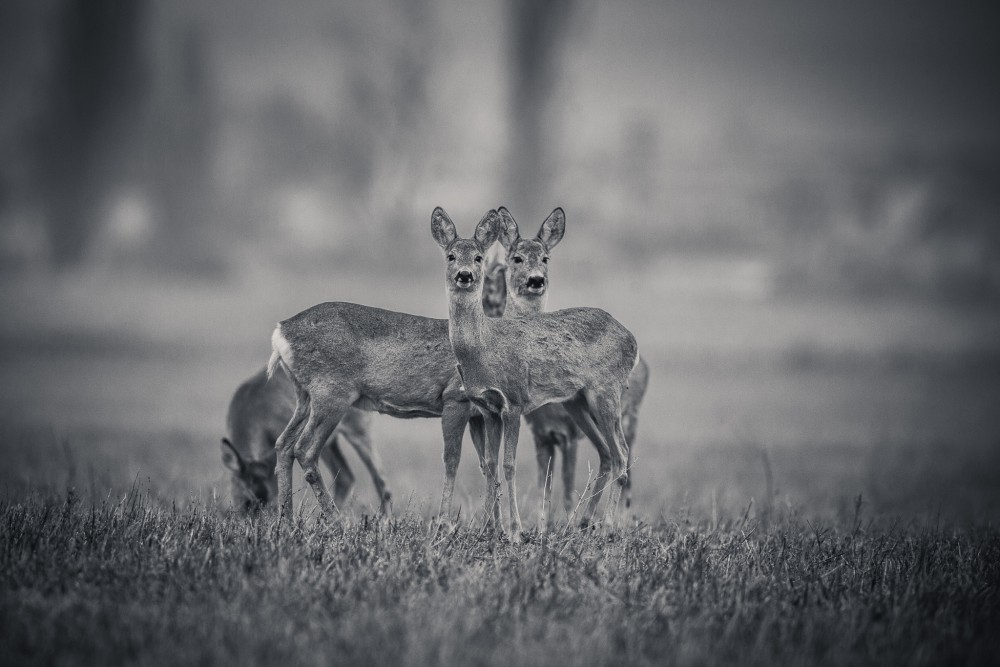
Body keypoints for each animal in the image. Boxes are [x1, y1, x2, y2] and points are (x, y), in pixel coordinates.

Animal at [221, 368, 388, 516]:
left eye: (271, 505)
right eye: (243, 502)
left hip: (358, 428)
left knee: (380, 479)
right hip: (327, 443)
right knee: (346, 477)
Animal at [432, 209, 636, 536]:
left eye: (478, 257)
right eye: (450, 256)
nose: (465, 275)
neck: (484, 347)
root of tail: (632, 340)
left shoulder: (514, 401)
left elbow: (509, 464)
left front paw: (515, 530)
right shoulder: (488, 408)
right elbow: (489, 463)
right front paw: (489, 528)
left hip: (606, 391)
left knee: (621, 453)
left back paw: (606, 526)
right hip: (577, 400)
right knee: (606, 452)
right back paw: (583, 523)